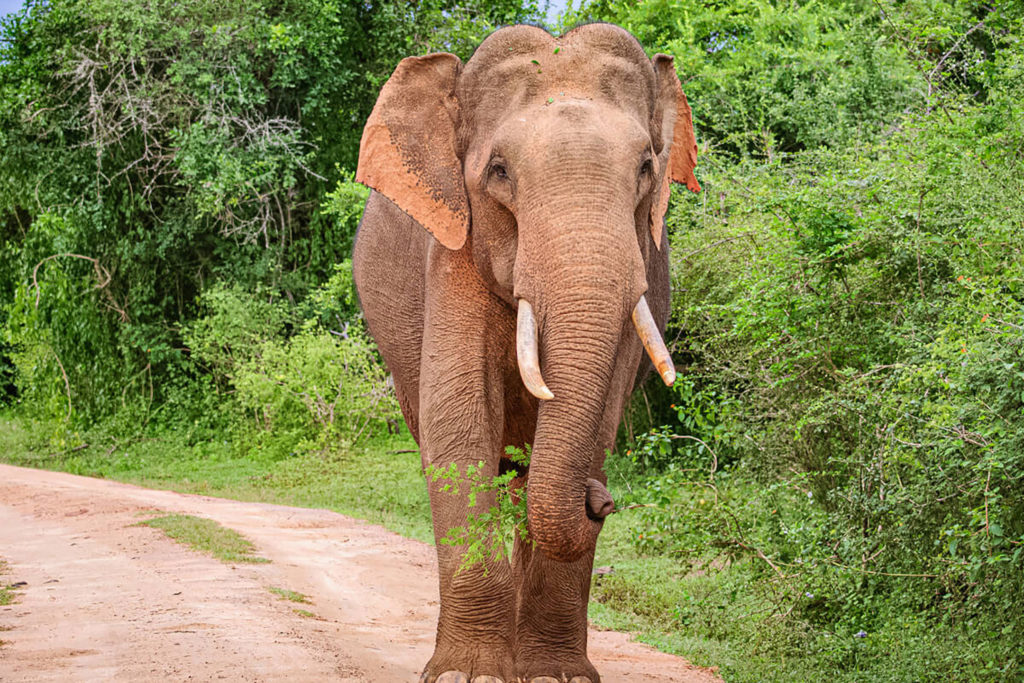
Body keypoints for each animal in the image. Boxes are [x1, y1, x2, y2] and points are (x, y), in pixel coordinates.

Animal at [350, 21, 696, 683]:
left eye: (647, 166)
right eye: (499, 171)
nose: (601, 499)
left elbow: (596, 424)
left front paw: (558, 676)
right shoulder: (453, 248)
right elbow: (459, 431)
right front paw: (469, 675)